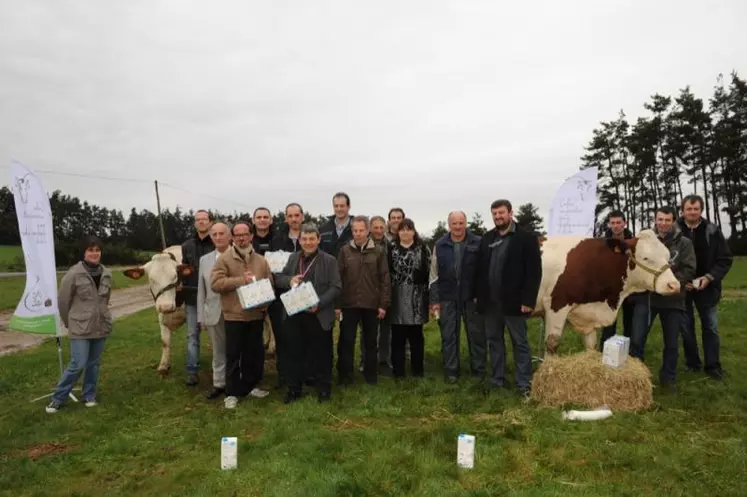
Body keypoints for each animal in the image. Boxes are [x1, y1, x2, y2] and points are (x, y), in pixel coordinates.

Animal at [532, 229, 684, 352]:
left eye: (668, 256)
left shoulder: (588, 315)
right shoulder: (556, 305)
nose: (674, 285)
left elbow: (591, 345)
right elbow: (552, 344)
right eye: (645, 258)